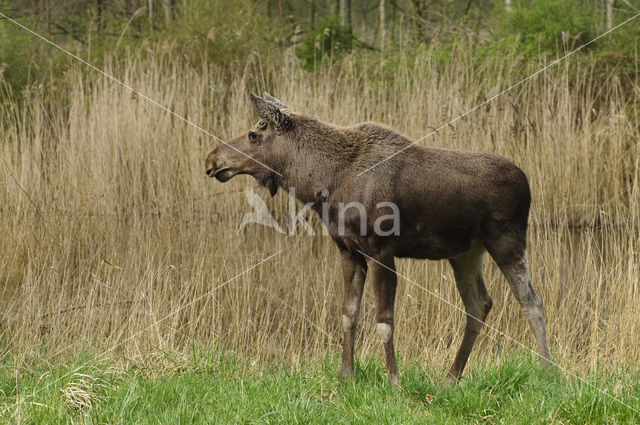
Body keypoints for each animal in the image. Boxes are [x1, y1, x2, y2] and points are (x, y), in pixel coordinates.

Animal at [205, 93, 552, 384]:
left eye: (254, 133)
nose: (212, 160)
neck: (323, 184)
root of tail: (527, 185)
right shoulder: (348, 251)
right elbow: (349, 314)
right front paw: (346, 376)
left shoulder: (381, 251)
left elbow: (384, 319)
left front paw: (395, 380)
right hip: (465, 253)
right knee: (479, 304)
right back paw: (450, 379)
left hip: (507, 240)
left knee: (531, 302)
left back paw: (547, 373)